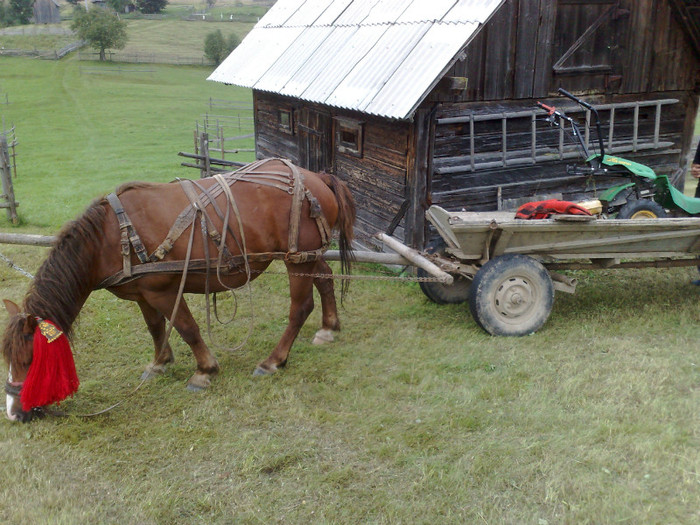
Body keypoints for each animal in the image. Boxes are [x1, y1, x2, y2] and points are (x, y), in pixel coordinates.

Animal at [1, 159, 356, 422]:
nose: (14, 414)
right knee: (325, 280)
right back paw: (329, 327)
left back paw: (273, 361)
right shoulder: (142, 293)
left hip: (296, 260)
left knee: (300, 307)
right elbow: (155, 327)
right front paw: (159, 362)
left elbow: (187, 328)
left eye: (30, 359)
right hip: (308, 257)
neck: (112, 236)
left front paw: (204, 370)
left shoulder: (164, 290)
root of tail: (318, 178)